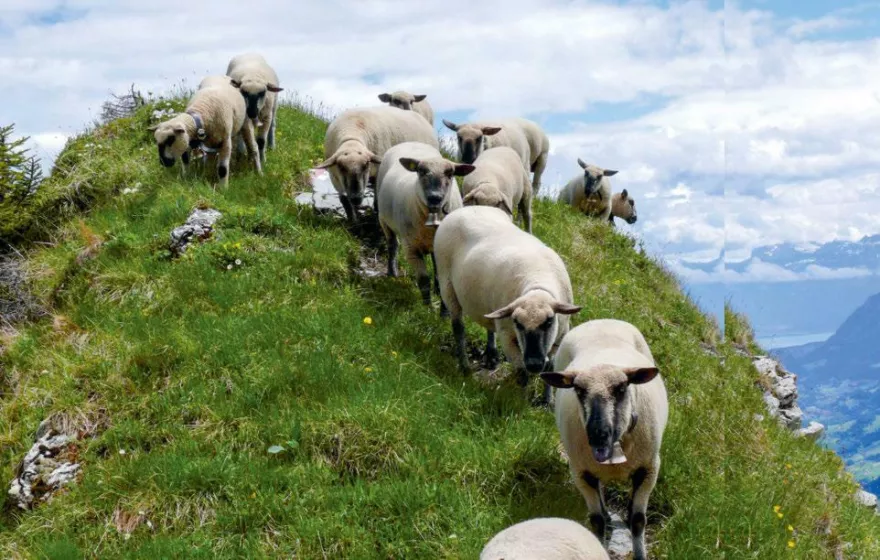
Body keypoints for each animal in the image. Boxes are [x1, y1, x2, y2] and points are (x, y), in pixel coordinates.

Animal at [376, 142, 478, 312]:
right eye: (421, 171)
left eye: (450, 174)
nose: (435, 197)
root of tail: (410, 142)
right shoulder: (411, 249)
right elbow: (423, 280)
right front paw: (426, 307)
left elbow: (439, 276)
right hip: (384, 220)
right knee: (392, 245)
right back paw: (392, 272)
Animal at [434, 203, 584, 404]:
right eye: (517, 323)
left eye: (549, 321)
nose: (535, 363)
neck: (536, 285)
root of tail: (461, 209)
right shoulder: (508, 337)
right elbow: (522, 372)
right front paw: (520, 400)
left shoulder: (559, 337)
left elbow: (552, 367)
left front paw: (548, 401)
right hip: (447, 285)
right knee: (458, 327)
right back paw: (464, 366)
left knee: (488, 325)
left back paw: (491, 355)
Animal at [540, 320, 672, 560]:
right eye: (578, 390)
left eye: (621, 388)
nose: (597, 433)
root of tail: (599, 321)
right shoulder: (581, 472)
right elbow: (596, 520)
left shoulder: (649, 469)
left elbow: (638, 520)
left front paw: (640, 553)